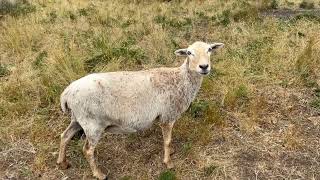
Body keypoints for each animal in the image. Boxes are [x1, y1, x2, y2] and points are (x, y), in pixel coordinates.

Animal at [56, 41, 224, 180]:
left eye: (209, 49)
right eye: (189, 52)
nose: (204, 67)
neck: (181, 80)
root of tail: (67, 92)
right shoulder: (168, 116)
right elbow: (168, 141)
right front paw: (168, 162)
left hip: (78, 118)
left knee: (65, 136)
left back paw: (62, 163)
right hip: (92, 124)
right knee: (88, 150)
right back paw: (99, 174)